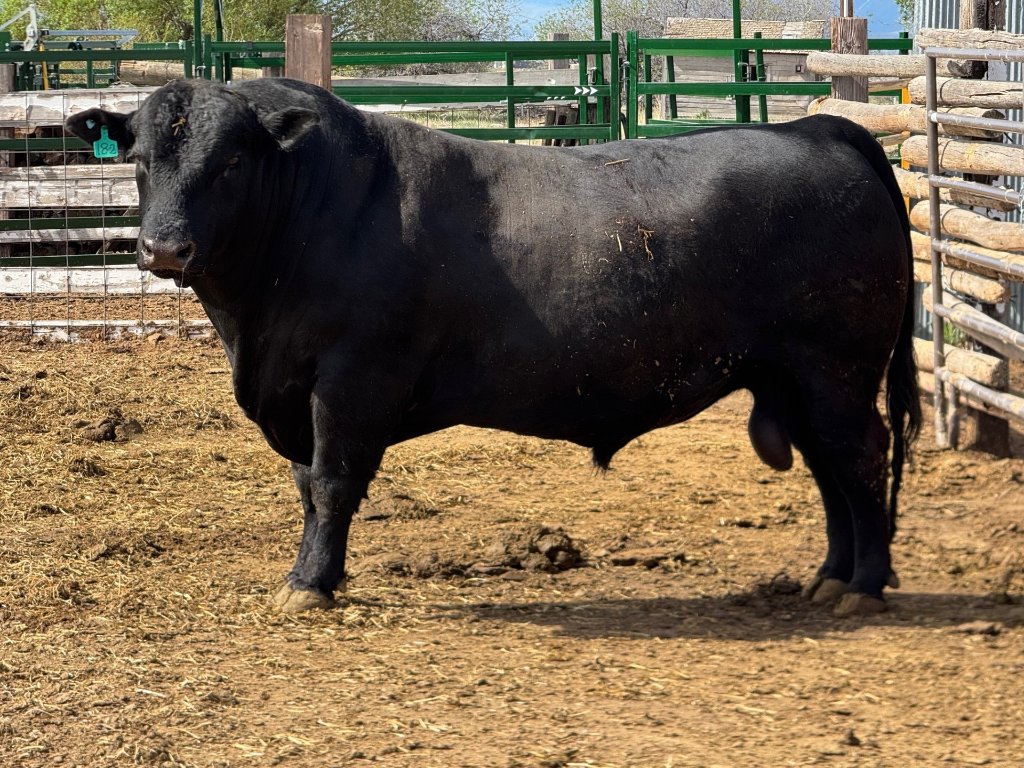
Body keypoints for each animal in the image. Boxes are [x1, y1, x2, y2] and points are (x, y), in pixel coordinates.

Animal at [66, 78, 920, 617]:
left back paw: (866, 583)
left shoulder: (349, 381)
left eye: (233, 160)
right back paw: (832, 576)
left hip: (837, 370)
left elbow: (334, 485)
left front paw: (309, 585)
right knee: (828, 469)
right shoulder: (294, 392)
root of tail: (815, 129)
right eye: (140, 161)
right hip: (795, 378)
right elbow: (308, 487)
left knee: (860, 457)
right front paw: (319, 574)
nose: (164, 248)